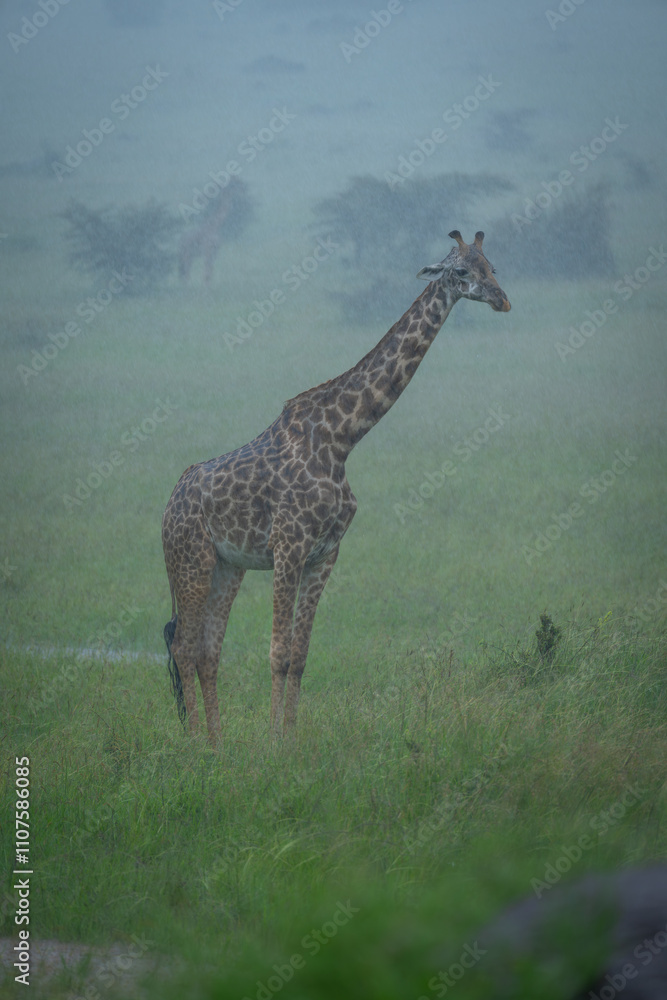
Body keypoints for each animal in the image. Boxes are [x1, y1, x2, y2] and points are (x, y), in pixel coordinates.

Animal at [161, 229, 510, 743]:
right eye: (462, 271)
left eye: (492, 267)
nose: (503, 300)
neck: (343, 438)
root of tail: (167, 507)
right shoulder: (288, 548)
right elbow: (277, 653)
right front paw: (272, 742)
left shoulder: (325, 554)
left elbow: (300, 656)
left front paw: (291, 741)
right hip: (191, 561)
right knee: (183, 646)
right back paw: (193, 746)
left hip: (228, 567)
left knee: (207, 650)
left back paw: (218, 745)